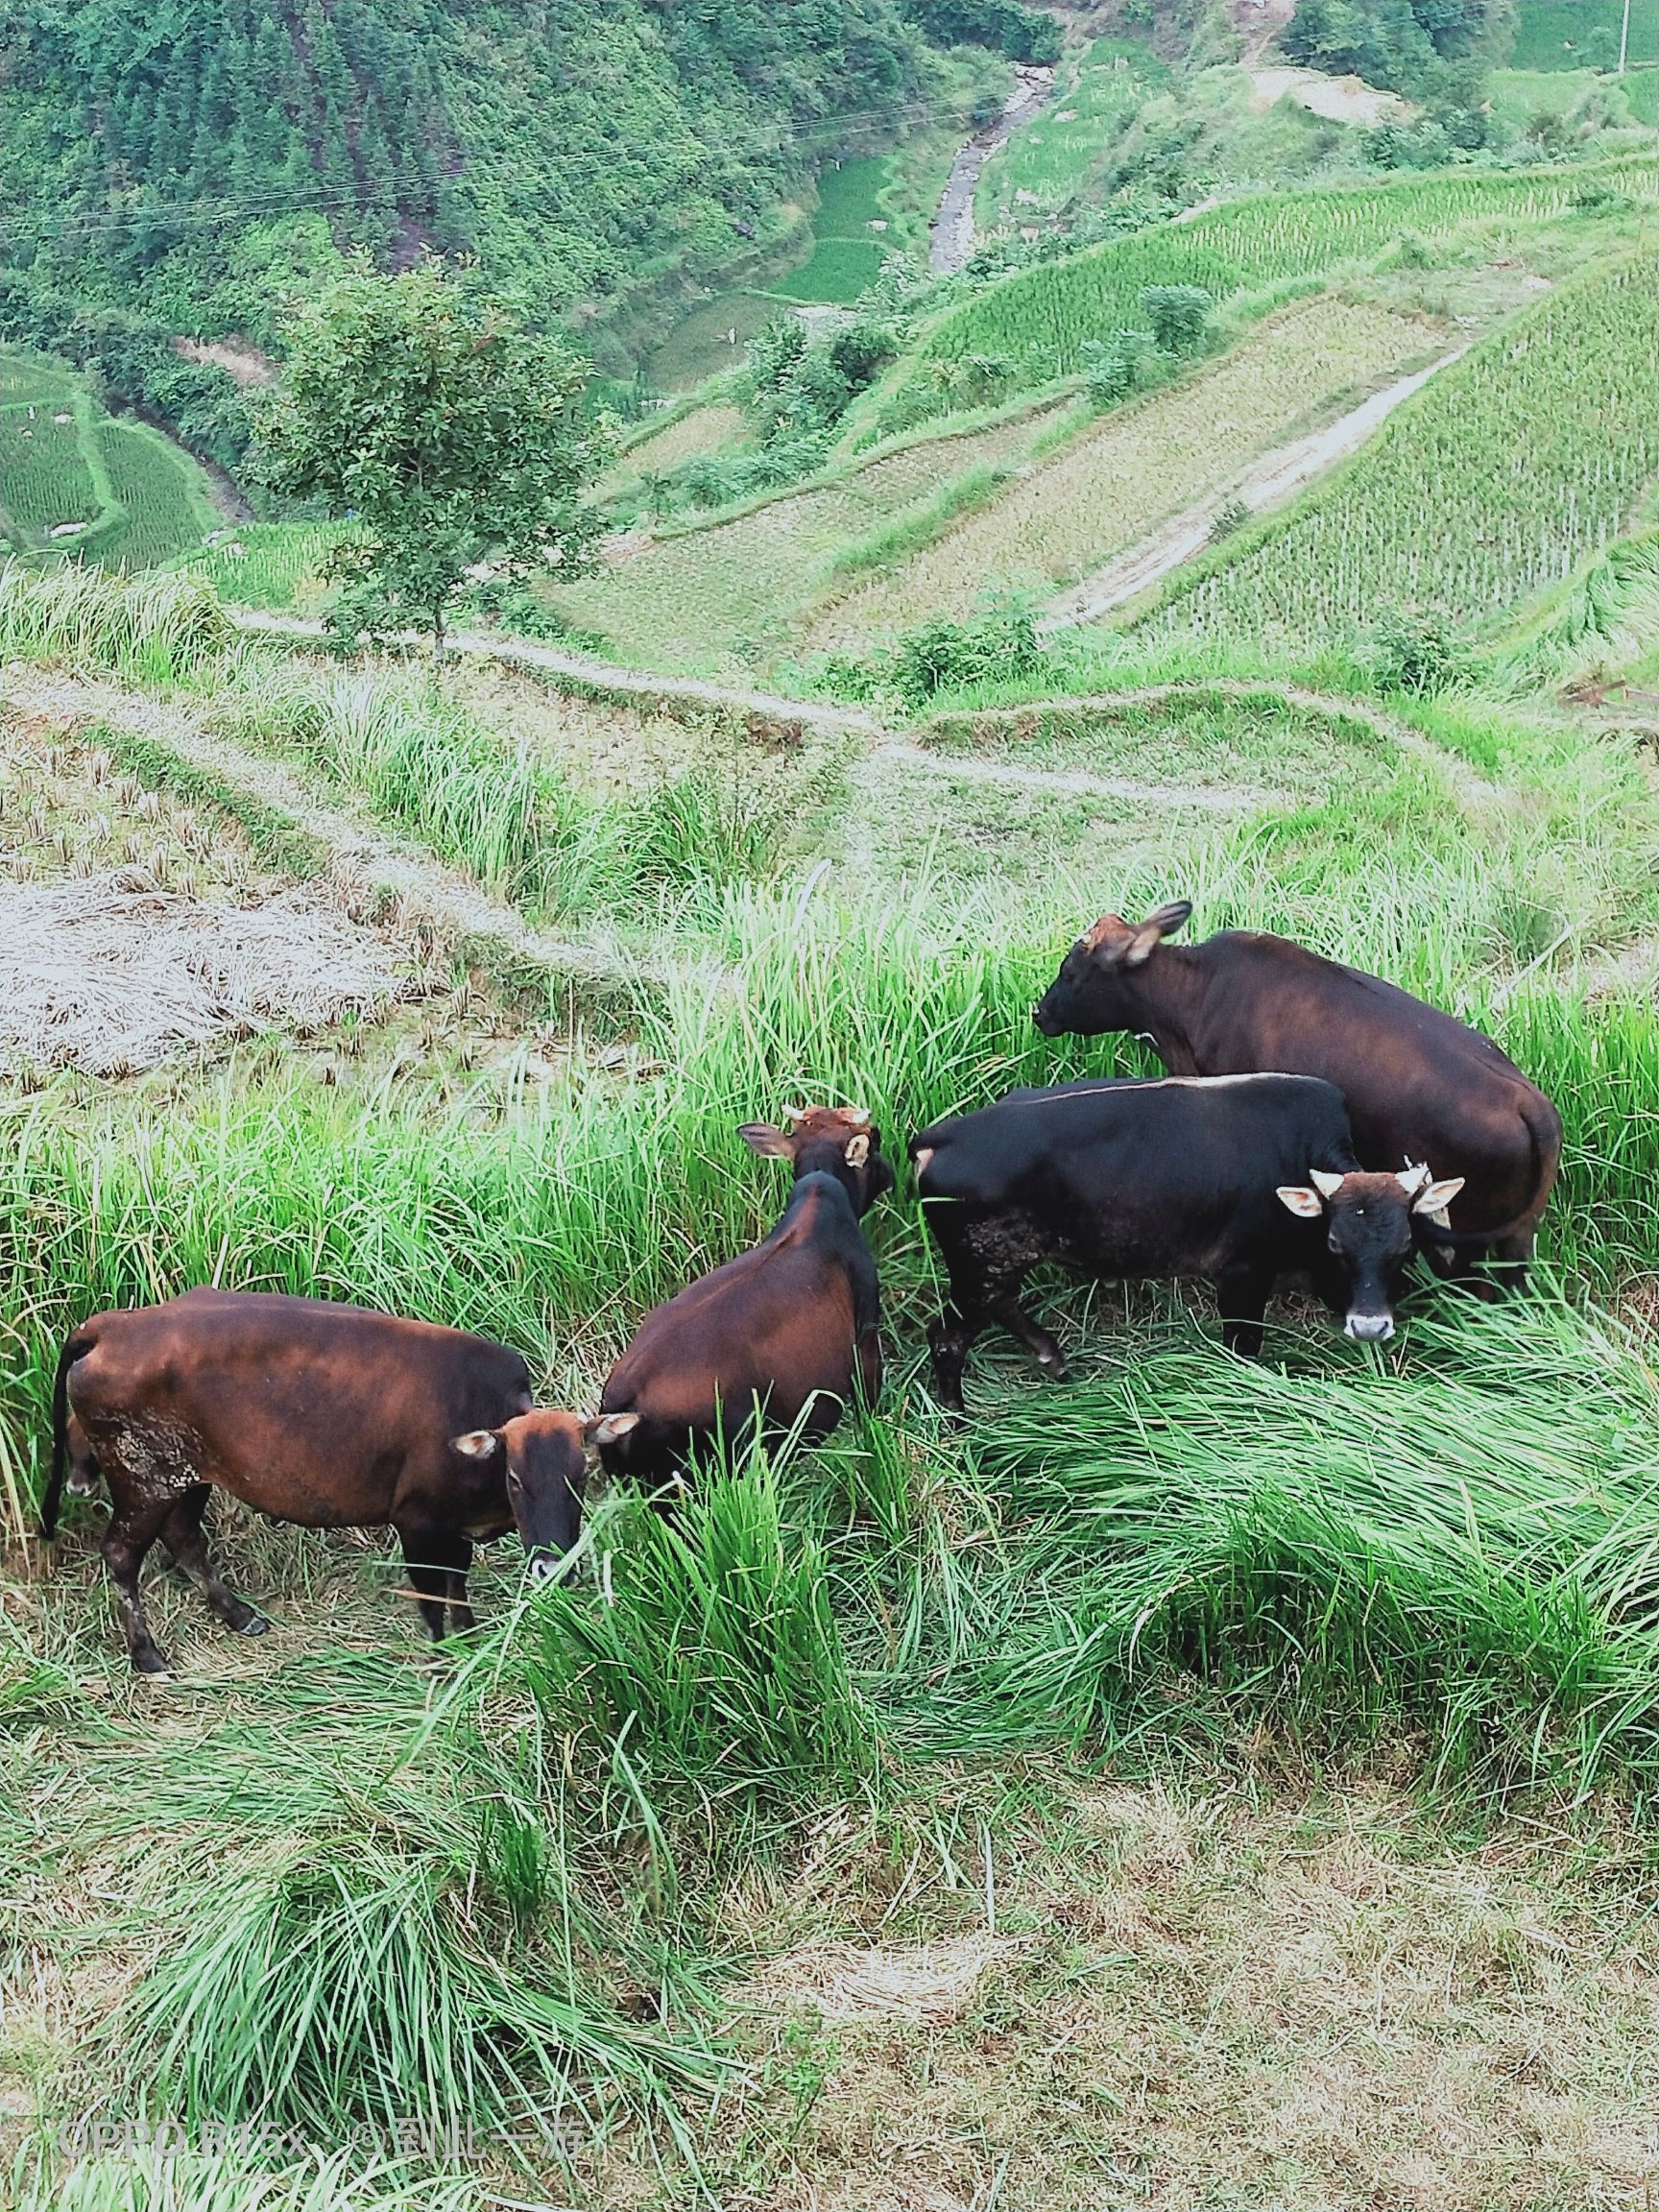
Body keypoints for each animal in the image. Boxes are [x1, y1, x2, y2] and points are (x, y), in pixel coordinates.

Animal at [45, 1291, 641, 1663]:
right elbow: (432, 1600)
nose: (554, 1566)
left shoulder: (455, 1528)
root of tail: (115, 1324)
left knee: (186, 1538)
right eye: (515, 1478)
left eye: (582, 1476)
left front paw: (470, 1637)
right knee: (121, 1555)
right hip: (142, 1480)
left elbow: (458, 1585)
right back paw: (147, 1653)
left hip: (189, 1476)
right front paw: (442, 1662)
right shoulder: (417, 1523)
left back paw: (238, 1615)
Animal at [911, 1079, 1468, 1407]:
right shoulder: (1243, 1276)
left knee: (1000, 1307)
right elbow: (1244, 1348)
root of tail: (939, 1138)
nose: (1370, 1326)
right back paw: (957, 1415)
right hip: (980, 1268)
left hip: (994, 1266)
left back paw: (1052, 1357)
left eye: (1405, 1247)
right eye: (1334, 1242)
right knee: (947, 1337)